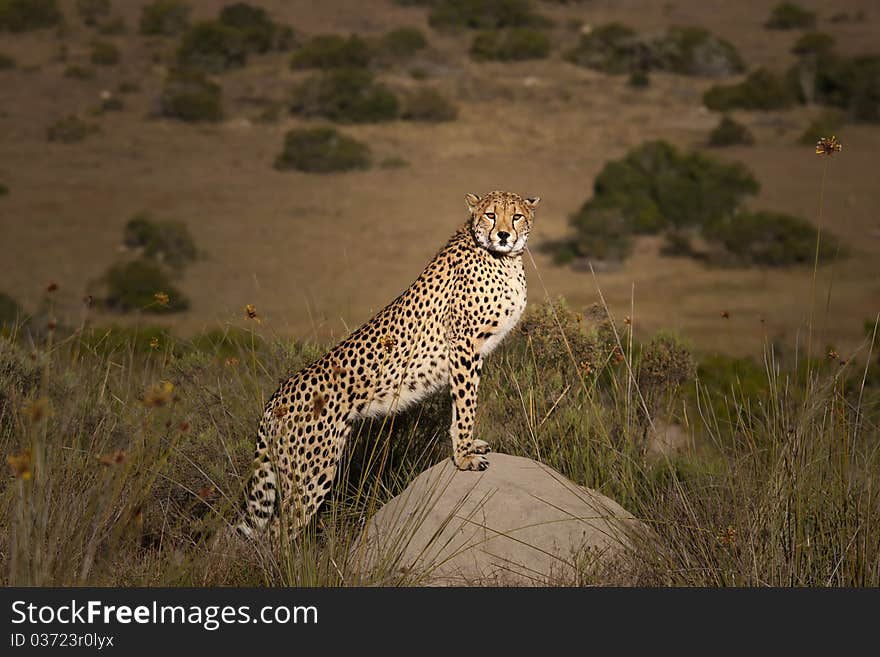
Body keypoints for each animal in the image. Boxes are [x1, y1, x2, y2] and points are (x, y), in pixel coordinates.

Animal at [241, 190, 540, 540]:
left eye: (516, 216)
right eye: (491, 215)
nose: (504, 235)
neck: (504, 259)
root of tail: (277, 394)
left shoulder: (463, 352)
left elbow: (458, 407)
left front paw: (464, 447)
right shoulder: (464, 345)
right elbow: (467, 404)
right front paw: (465, 455)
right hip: (311, 471)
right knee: (277, 533)